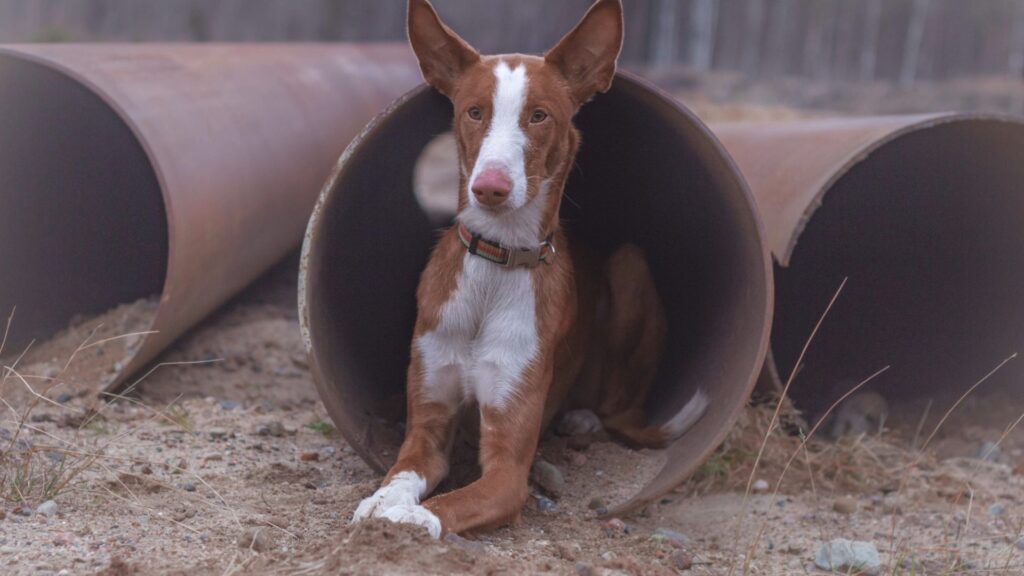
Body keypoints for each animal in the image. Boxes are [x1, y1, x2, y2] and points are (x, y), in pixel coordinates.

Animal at [350, 0, 704, 537]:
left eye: (539, 116)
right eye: (474, 111)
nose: (490, 187)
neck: (496, 265)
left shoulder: (508, 469)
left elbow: (446, 506)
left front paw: (407, 519)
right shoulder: (427, 427)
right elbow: (401, 473)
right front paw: (381, 502)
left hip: (630, 265)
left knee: (618, 408)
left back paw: (584, 419)